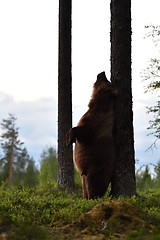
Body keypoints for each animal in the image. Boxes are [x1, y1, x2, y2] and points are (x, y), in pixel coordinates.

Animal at [65, 72, 117, 200]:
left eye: (107, 80)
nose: (102, 72)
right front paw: (67, 138)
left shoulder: (95, 124)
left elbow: (82, 131)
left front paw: (69, 139)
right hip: (84, 175)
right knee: (85, 186)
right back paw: (85, 197)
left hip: (96, 168)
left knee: (93, 183)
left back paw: (92, 197)